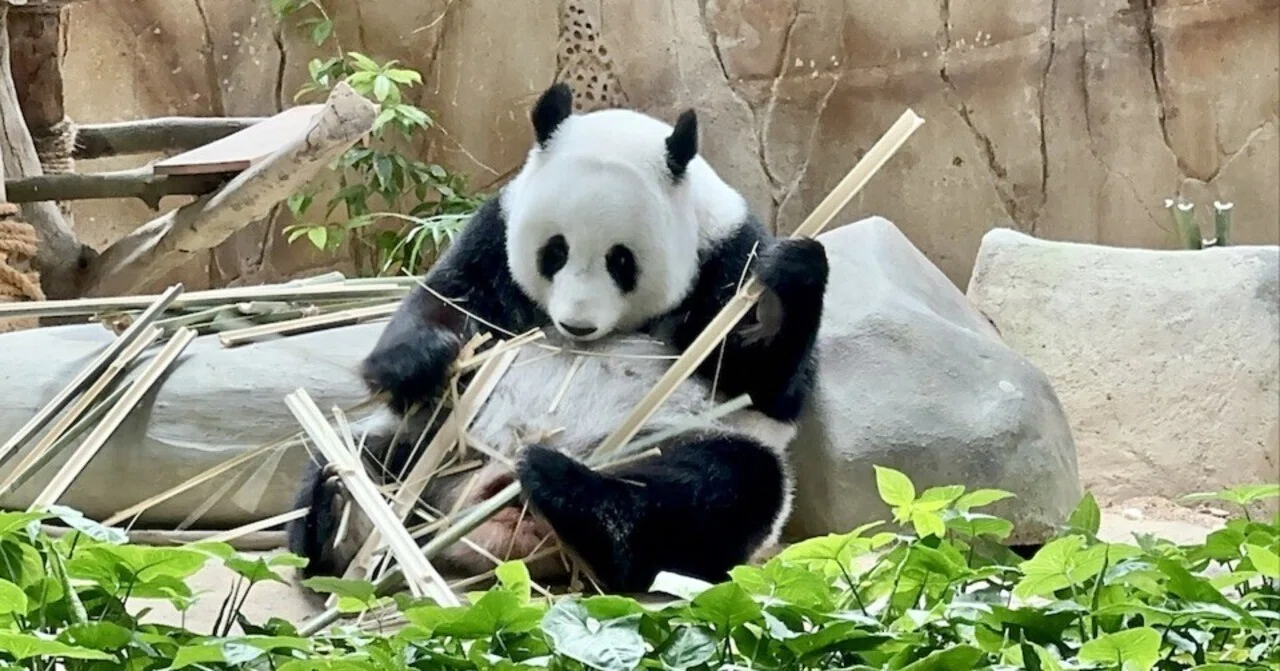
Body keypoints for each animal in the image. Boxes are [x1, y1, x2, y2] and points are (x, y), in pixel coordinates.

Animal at [287, 82, 830, 594]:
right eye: (555, 251)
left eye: (621, 260)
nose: (577, 325)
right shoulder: (495, 229)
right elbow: (448, 298)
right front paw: (426, 362)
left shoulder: (728, 250)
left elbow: (761, 383)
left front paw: (791, 275)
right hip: (442, 438)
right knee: (357, 452)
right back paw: (341, 516)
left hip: (675, 445)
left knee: (718, 491)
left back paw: (566, 490)